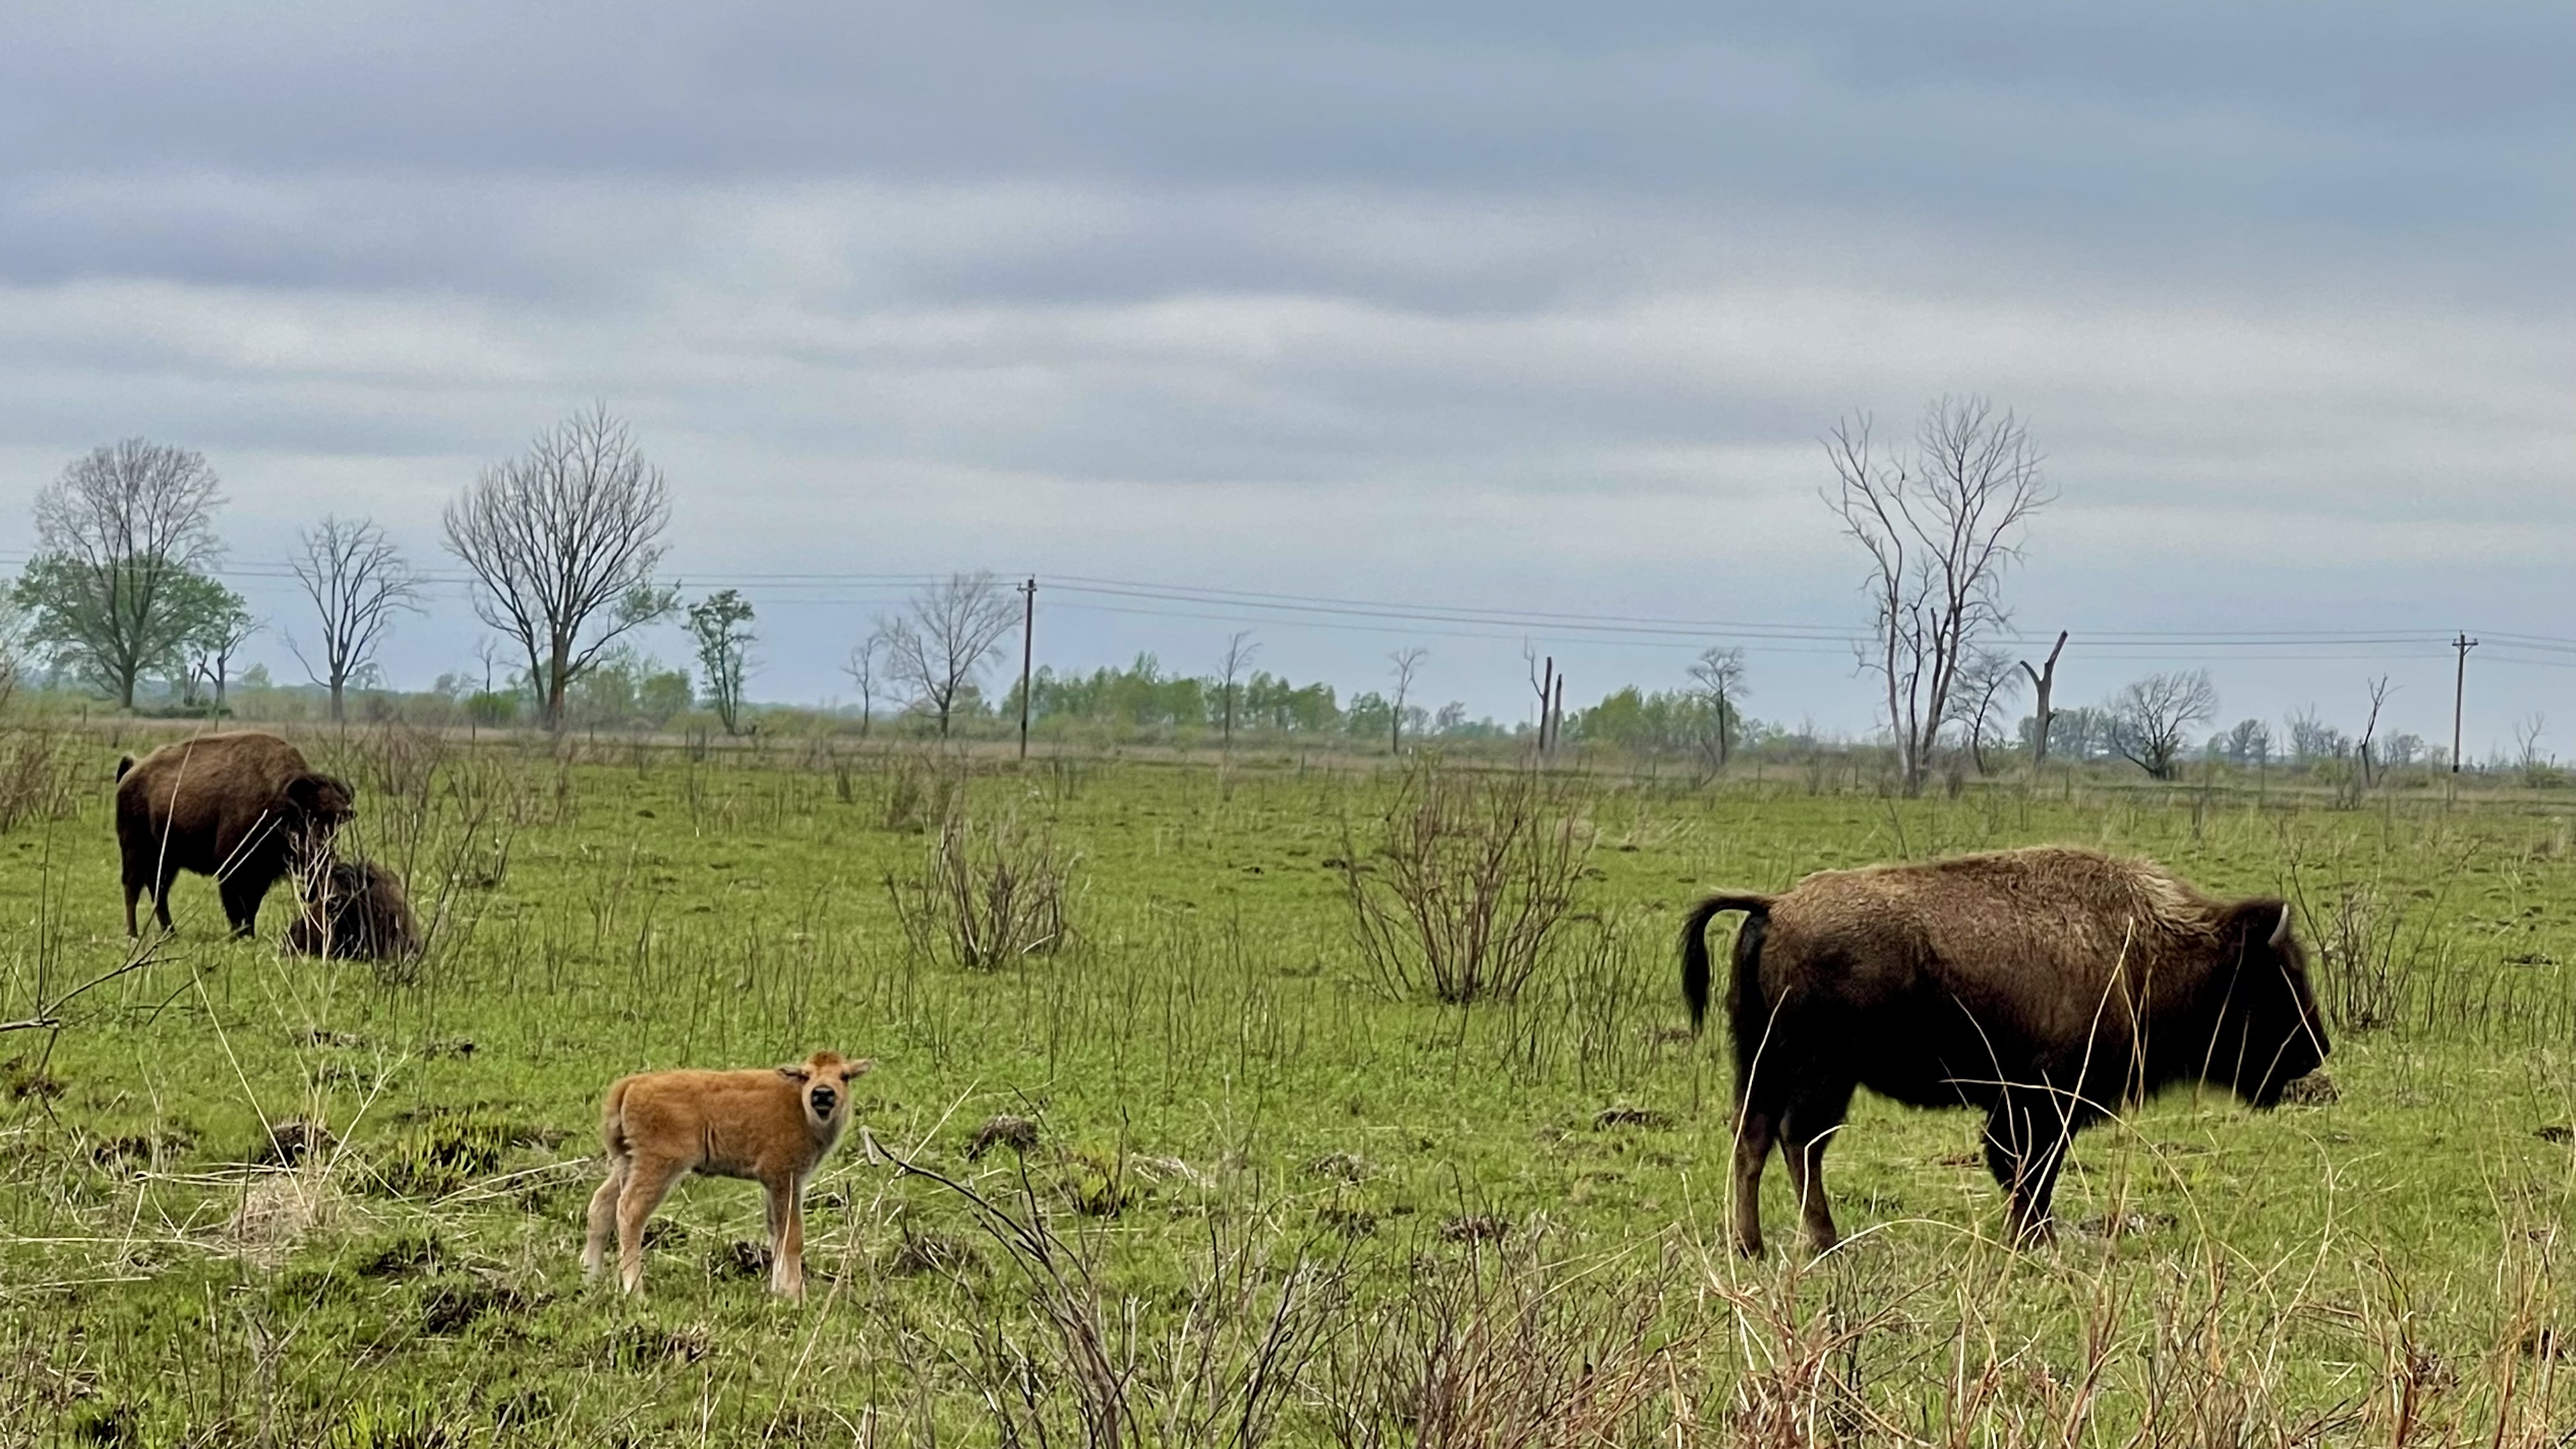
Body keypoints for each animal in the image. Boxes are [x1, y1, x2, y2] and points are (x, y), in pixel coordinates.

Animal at [115, 732, 354, 938]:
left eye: (337, 823)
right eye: (307, 818)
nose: (324, 857)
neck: (279, 803)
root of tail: (133, 770)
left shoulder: (262, 874)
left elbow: (251, 906)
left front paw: (248, 934)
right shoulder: (233, 868)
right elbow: (236, 905)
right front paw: (238, 935)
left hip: (167, 859)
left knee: (159, 891)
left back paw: (171, 934)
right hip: (136, 850)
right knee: (132, 888)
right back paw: (133, 934)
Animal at [1682, 845, 2328, 1255]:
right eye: (2276, 983)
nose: (2314, 1051)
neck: (2149, 950)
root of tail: (1774, 907)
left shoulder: (2031, 1103)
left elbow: (2028, 1170)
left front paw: (2030, 1238)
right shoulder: (2044, 1101)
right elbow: (2030, 1169)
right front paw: (2036, 1240)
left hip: (1760, 1063)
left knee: (1753, 1138)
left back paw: (1751, 1246)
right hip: (1822, 1074)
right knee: (1801, 1141)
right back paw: (1825, 1243)